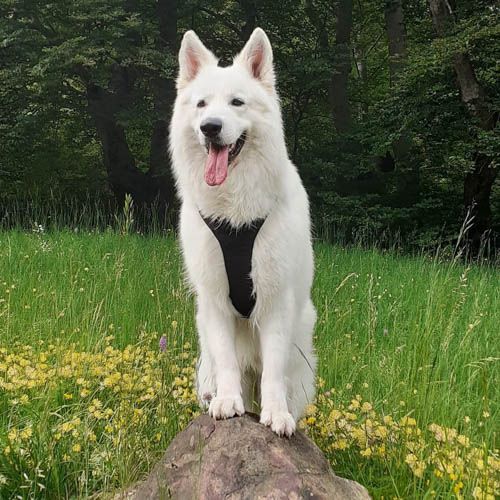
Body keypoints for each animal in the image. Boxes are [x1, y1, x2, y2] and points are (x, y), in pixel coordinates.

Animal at [169, 28, 316, 438]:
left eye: (237, 102)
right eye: (202, 105)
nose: (210, 127)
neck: (235, 216)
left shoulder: (276, 300)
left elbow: (274, 373)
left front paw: (276, 415)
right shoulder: (215, 300)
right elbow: (227, 361)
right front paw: (228, 402)